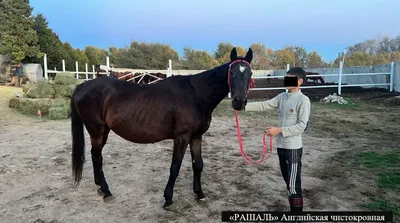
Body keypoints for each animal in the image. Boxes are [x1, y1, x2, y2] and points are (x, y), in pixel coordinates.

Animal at [70, 48, 255, 208]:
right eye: (231, 73)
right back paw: (107, 191)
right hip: (97, 131)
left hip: (103, 132)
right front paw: (168, 198)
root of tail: (84, 86)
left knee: (95, 155)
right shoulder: (182, 137)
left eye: (250, 74)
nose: (239, 102)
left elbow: (198, 165)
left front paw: (199, 194)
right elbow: (175, 166)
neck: (195, 94)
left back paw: (100, 187)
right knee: (97, 157)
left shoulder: (196, 136)